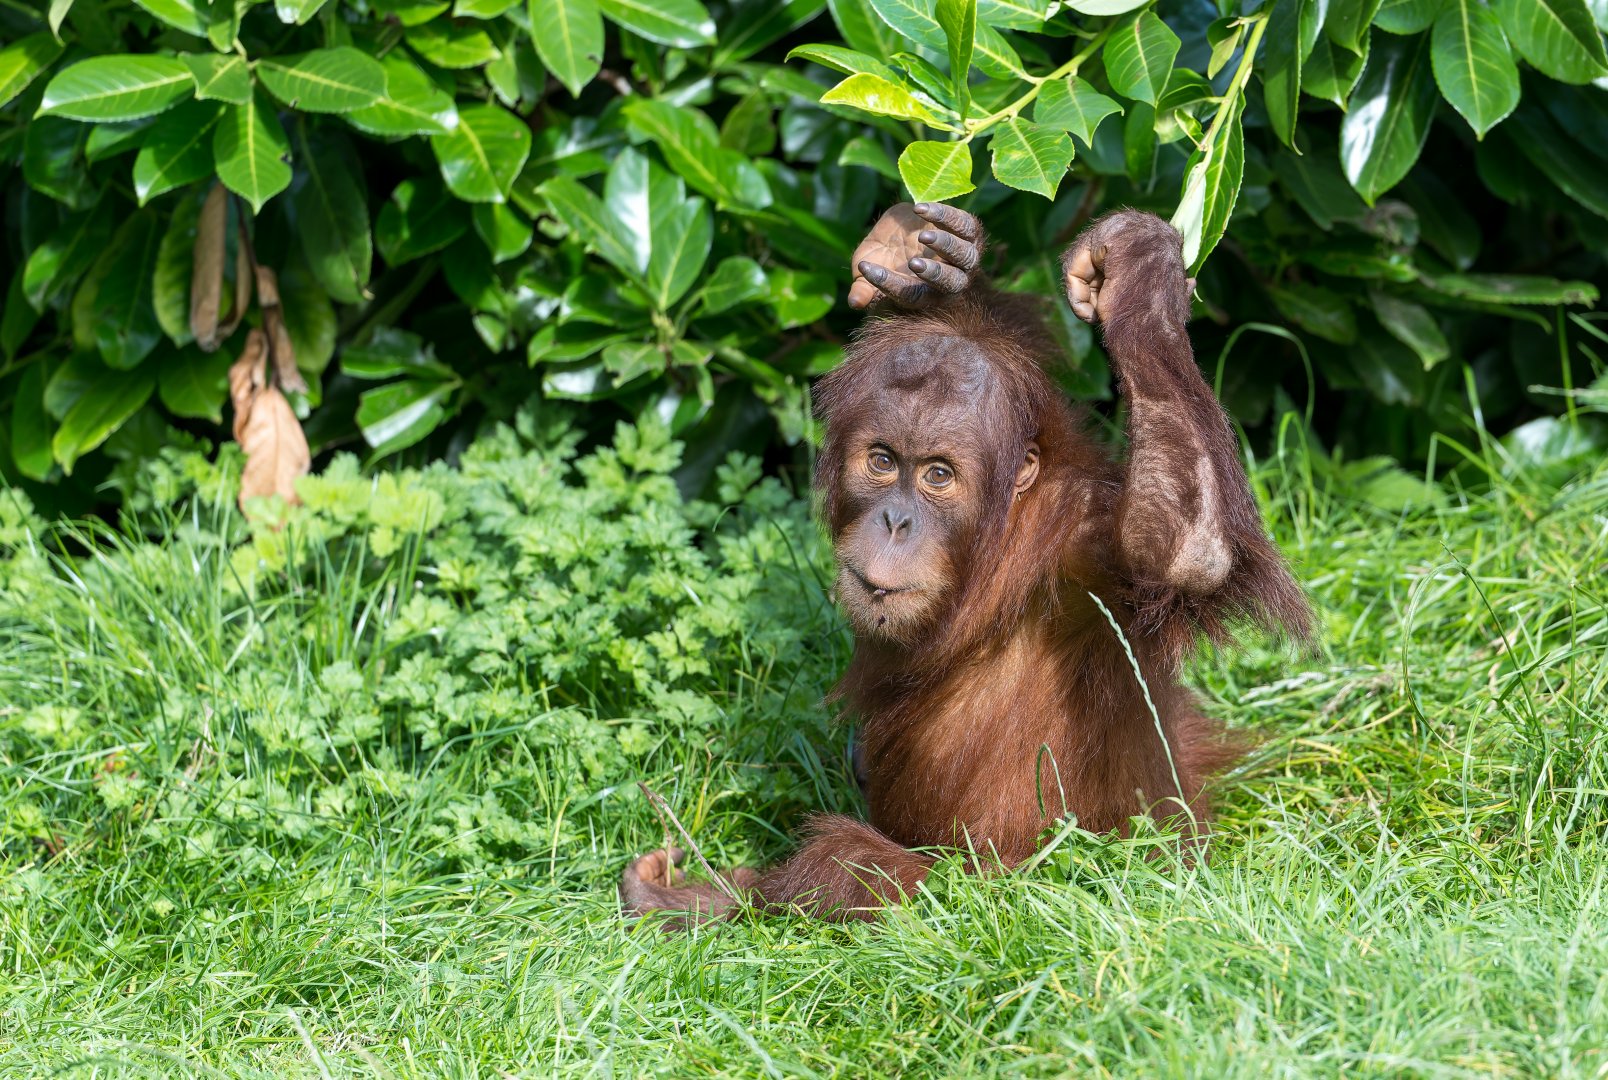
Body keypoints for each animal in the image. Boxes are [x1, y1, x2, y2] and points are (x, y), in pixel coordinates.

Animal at [620, 201, 1313, 924]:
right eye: (883, 461)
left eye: (938, 475)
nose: (896, 522)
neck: (997, 554)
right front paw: (934, 271)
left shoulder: (1081, 549)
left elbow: (1185, 554)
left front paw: (1139, 269)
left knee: (844, 862)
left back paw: (688, 898)